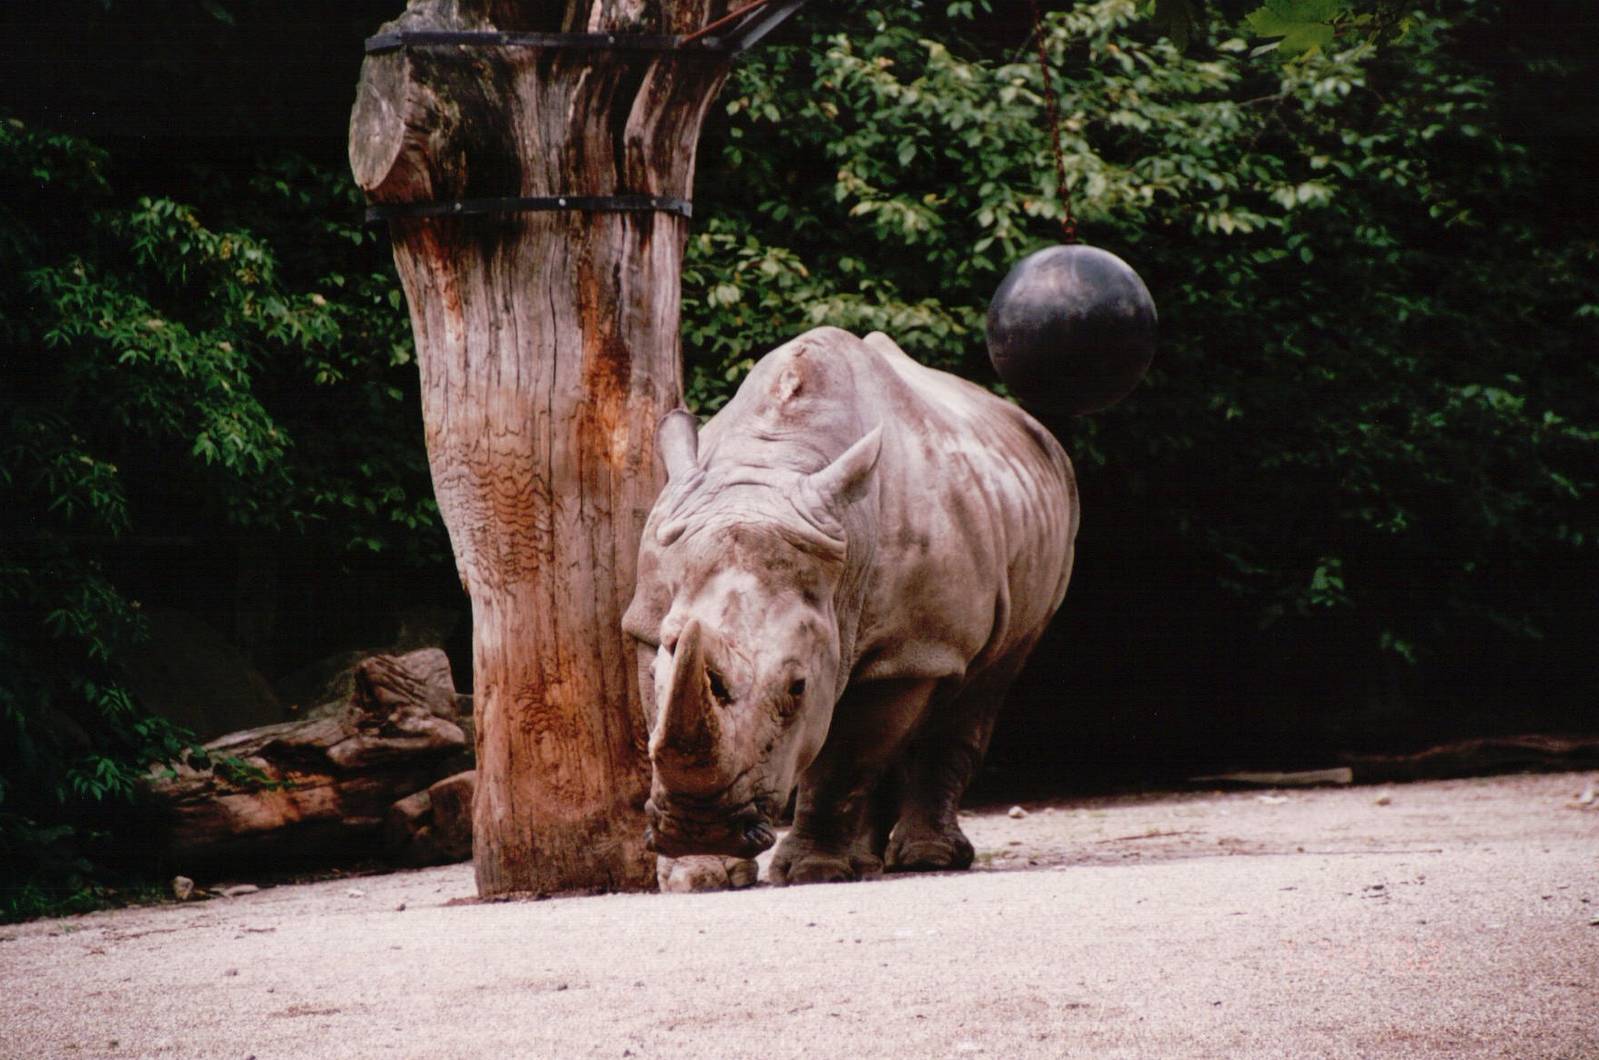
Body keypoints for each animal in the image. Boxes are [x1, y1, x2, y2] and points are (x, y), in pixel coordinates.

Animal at [622, 326, 1077, 887]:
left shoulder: (910, 651)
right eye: (665, 653)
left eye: (797, 687)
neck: (764, 475)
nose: (700, 826)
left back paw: (925, 860)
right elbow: (658, 708)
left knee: (983, 685)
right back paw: (869, 864)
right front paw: (700, 873)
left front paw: (814, 870)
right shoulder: (647, 619)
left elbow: (845, 757)